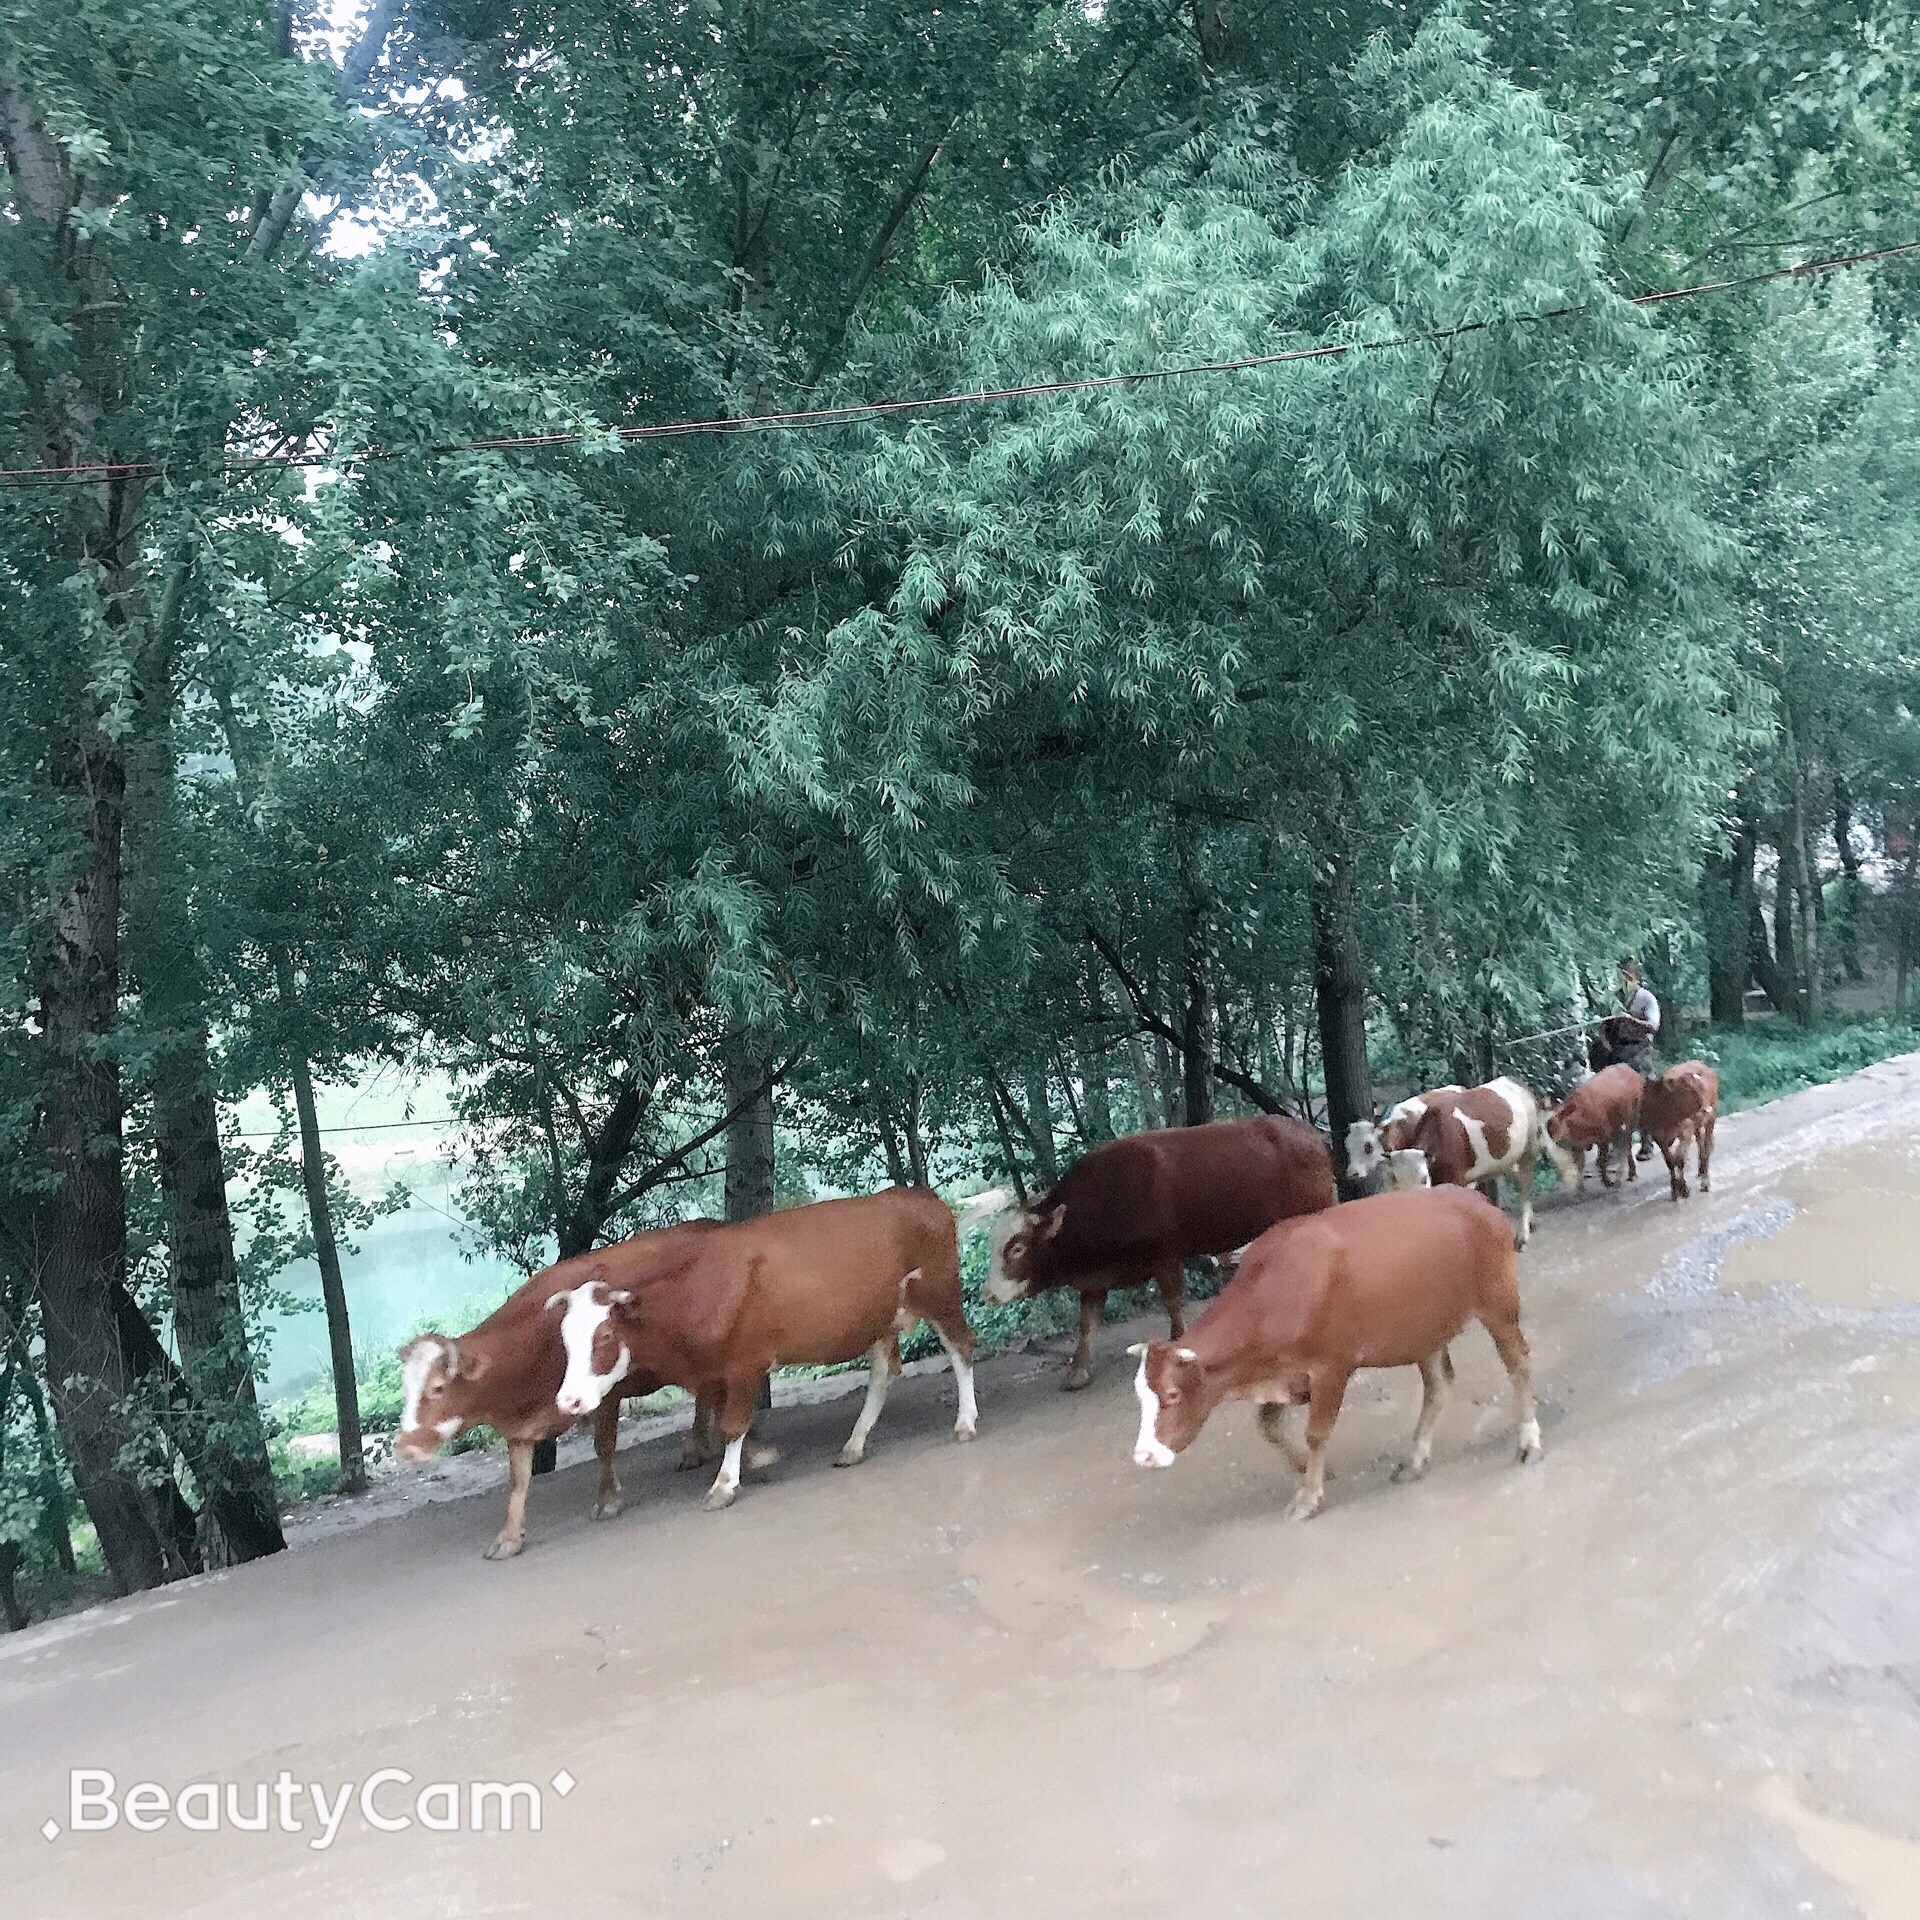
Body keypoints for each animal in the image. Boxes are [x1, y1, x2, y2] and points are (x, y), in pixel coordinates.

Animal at [552, 1182, 975, 1512]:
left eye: (605, 1335)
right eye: (566, 1340)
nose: (568, 1401)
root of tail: (915, 1194)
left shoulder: (744, 1362)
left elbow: (733, 1424)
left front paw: (724, 1484)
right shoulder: (714, 1371)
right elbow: (727, 1421)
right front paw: (758, 1456)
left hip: (940, 1294)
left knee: (962, 1347)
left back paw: (965, 1423)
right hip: (880, 1319)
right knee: (885, 1372)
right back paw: (854, 1445)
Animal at [1128, 1182, 1536, 1512]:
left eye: (1172, 1394)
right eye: (1141, 1396)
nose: (1144, 1456)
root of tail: (1474, 1198)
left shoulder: (1330, 1368)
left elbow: (1316, 1433)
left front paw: (1309, 1494)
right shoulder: (1284, 1374)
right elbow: (1268, 1426)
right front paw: (1310, 1471)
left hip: (1499, 1305)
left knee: (1518, 1364)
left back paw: (1529, 1441)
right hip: (1427, 1331)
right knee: (1438, 1385)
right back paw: (1416, 1459)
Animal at [1351, 1075, 1543, 1251]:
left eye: (1368, 1147)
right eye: (1398, 1181)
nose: (1352, 1173)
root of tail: (1515, 1081)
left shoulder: (1457, 1180)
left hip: (1528, 1152)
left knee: (1525, 1187)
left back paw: (1522, 1236)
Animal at [1536, 1059, 1643, 1190]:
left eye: (1553, 1124)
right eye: (1543, 1127)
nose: (1545, 1146)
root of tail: (1630, 1068)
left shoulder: (1604, 1134)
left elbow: (1602, 1160)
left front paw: (1607, 1182)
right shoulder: (1576, 1146)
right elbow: (1580, 1164)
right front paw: (1580, 1187)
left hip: (1633, 1117)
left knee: (1627, 1145)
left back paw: (1629, 1174)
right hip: (1619, 1124)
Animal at [1635, 1067, 1728, 1198]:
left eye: (1702, 1087)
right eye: (1688, 1090)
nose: (1706, 1109)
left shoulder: (1686, 1131)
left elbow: (1679, 1158)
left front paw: (1683, 1189)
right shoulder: (1659, 1137)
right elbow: (1670, 1161)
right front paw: (1674, 1189)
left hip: (1711, 1118)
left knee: (1707, 1145)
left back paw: (1705, 1179)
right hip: (1697, 1123)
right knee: (1700, 1141)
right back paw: (1701, 1170)